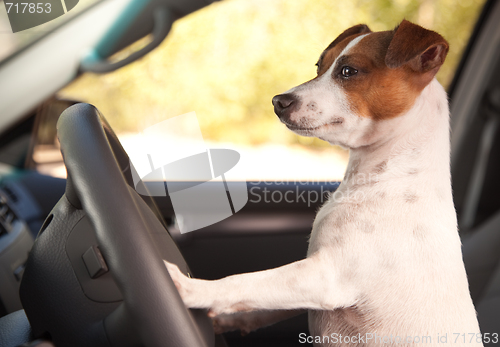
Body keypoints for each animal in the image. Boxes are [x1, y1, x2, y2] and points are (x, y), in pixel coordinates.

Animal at [166, 20, 482, 346]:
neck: (385, 174)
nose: (278, 101)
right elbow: (259, 303)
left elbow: (245, 282)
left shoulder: (326, 276)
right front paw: (222, 321)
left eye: (348, 71)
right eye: (319, 66)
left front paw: (190, 289)